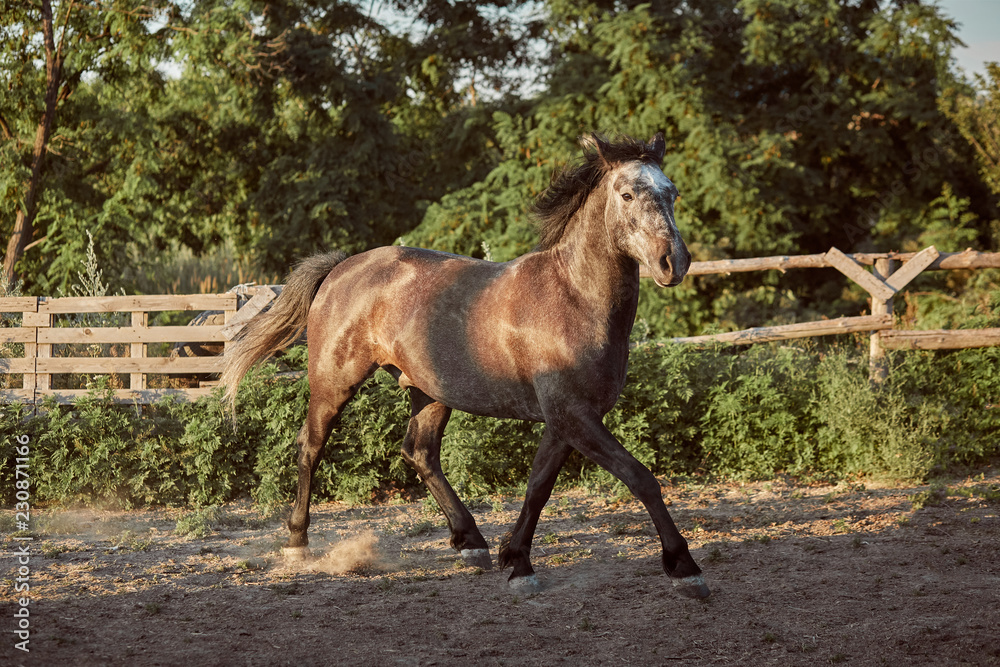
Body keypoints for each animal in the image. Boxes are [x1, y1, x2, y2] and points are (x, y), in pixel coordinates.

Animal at [220, 133, 709, 599]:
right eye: (627, 194)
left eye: (672, 192)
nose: (674, 261)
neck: (574, 299)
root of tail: (341, 268)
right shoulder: (574, 416)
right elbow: (641, 479)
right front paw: (684, 569)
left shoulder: (566, 421)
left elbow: (538, 488)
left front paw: (516, 561)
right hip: (334, 382)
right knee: (310, 445)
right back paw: (297, 544)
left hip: (429, 392)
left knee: (419, 452)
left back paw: (470, 541)